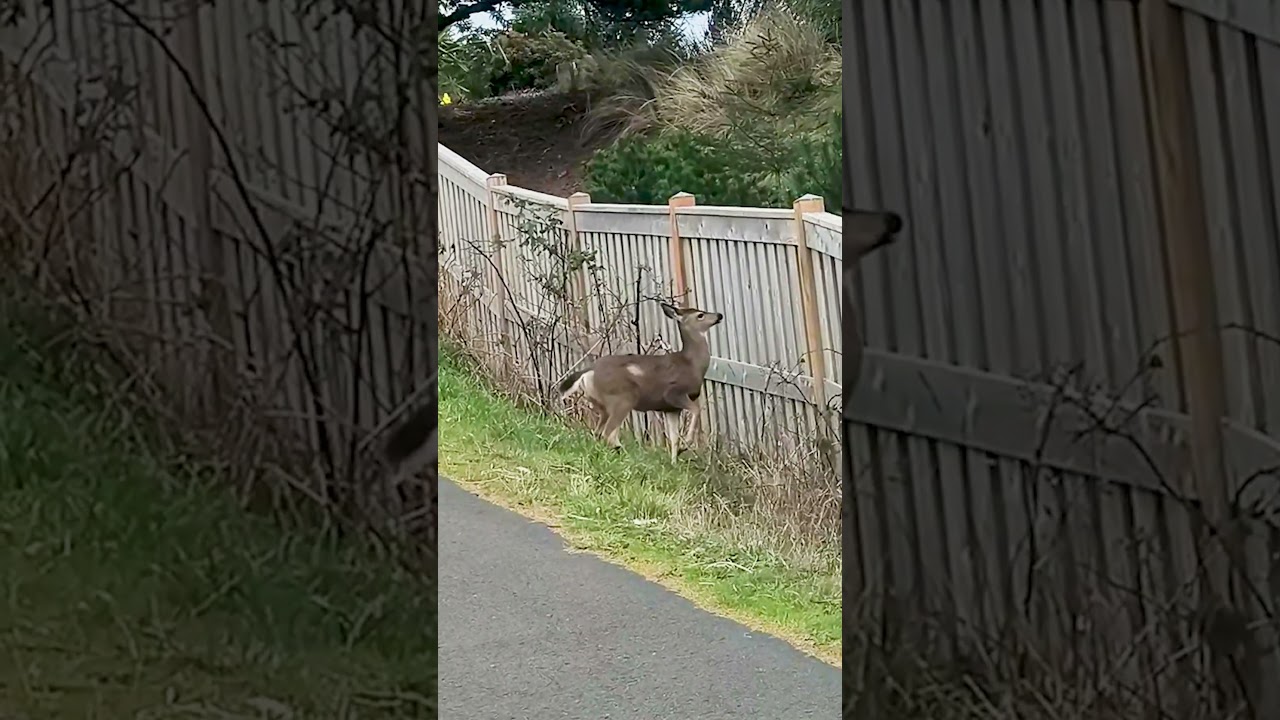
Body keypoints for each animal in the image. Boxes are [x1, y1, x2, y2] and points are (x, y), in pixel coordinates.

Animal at [558, 301, 724, 463]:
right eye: (700, 315)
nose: (719, 315)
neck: (692, 364)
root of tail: (588, 371)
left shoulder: (670, 408)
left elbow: (674, 438)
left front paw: (675, 461)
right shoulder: (674, 393)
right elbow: (696, 410)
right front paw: (686, 445)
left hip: (602, 405)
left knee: (598, 432)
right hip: (623, 397)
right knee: (608, 433)